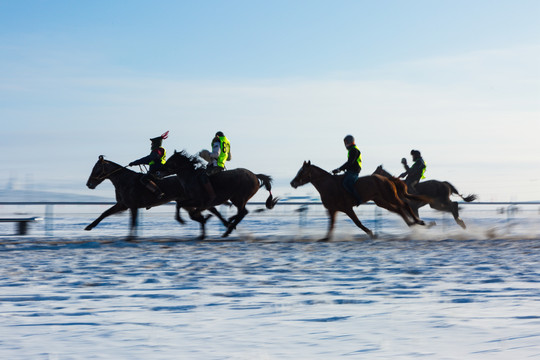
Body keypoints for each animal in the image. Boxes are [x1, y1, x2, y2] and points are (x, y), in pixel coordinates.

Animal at [288, 161, 428, 240]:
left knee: (404, 205)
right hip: (381, 202)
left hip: (390, 197)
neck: (328, 185)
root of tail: (387, 179)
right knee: (398, 209)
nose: (292, 183)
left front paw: (371, 233)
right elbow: (331, 225)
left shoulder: (347, 208)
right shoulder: (332, 210)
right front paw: (325, 238)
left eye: (302, 171)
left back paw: (419, 222)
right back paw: (411, 223)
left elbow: (358, 223)